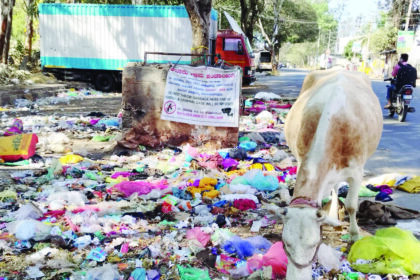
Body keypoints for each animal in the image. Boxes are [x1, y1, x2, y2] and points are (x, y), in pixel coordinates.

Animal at [274, 69, 382, 278]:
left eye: (315, 244)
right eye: (285, 243)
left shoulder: (357, 171)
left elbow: (351, 205)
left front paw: (354, 235)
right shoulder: (301, 159)